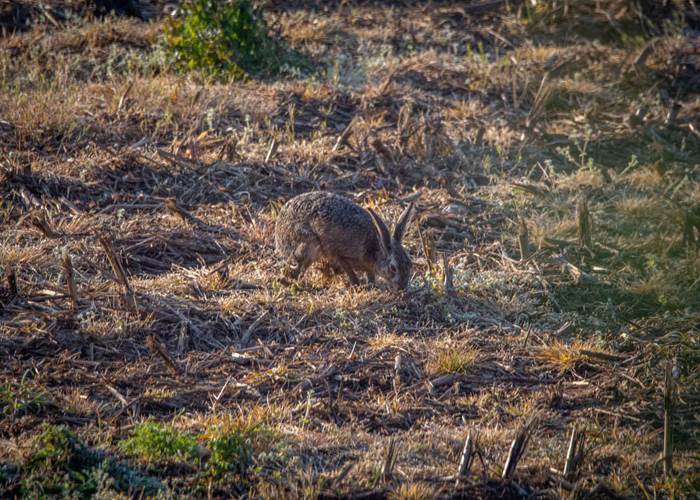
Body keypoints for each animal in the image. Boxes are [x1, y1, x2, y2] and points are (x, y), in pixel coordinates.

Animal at [274, 191, 415, 290]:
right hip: (309, 245)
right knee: (299, 268)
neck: (375, 248)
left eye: (409, 263)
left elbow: (370, 274)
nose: (402, 287)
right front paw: (357, 285)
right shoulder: (341, 255)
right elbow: (350, 271)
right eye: (393, 268)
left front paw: (371, 285)